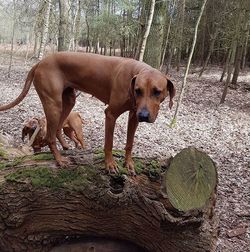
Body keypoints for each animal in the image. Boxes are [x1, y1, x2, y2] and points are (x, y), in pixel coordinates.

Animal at [0, 53, 175, 174]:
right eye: (138, 90)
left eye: (157, 91)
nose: (144, 116)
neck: (136, 71)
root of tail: (40, 62)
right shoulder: (110, 114)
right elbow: (109, 143)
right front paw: (110, 164)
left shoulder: (133, 116)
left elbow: (130, 143)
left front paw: (129, 163)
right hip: (53, 104)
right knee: (50, 136)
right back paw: (59, 160)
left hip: (68, 101)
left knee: (58, 128)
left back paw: (66, 147)